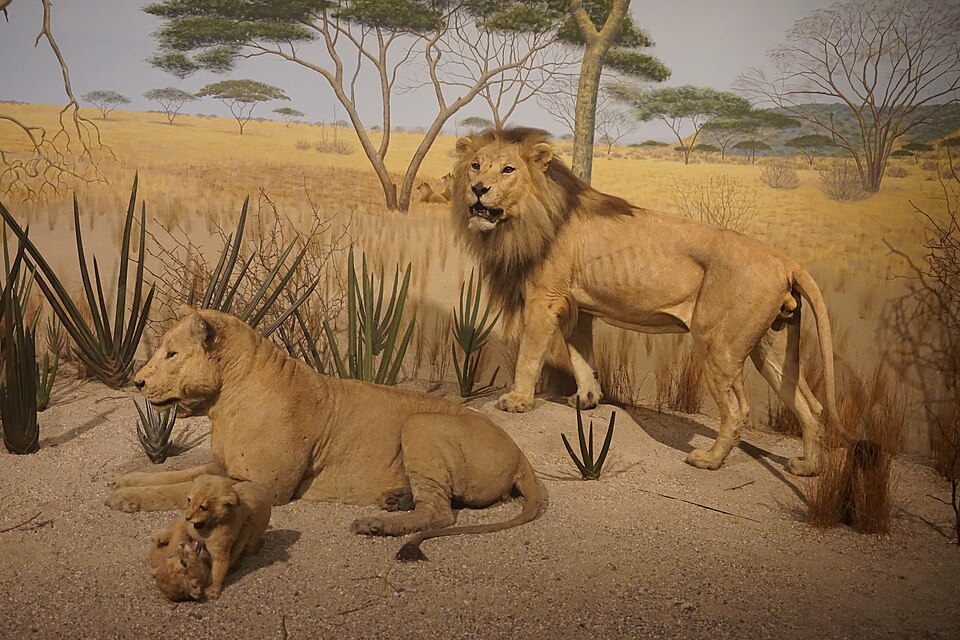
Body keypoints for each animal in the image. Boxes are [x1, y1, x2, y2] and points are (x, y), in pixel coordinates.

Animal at [106, 307, 544, 561]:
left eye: (171, 354)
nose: (138, 381)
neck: (223, 401)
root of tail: (521, 454)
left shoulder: (265, 487)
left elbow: (179, 489)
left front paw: (126, 498)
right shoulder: (222, 465)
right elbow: (179, 475)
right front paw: (128, 480)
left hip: (421, 424)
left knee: (440, 513)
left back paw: (375, 524)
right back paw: (393, 500)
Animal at [450, 127, 841, 477]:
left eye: (507, 170)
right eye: (475, 166)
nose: (478, 189)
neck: (523, 217)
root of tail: (784, 260)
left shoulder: (543, 299)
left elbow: (528, 356)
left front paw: (517, 401)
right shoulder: (579, 306)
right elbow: (581, 356)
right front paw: (586, 399)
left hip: (718, 345)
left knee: (738, 410)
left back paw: (709, 460)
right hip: (770, 347)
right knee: (810, 406)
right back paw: (807, 468)